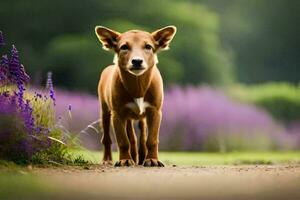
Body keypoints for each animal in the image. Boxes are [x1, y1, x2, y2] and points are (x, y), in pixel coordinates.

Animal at [95, 25, 177, 166]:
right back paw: (108, 159)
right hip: (105, 111)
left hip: (140, 117)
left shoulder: (155, 111)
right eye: (124, 47)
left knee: (141, 135)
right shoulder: (117, 113)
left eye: (148, 46)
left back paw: (142, 157)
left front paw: (152, 159)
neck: (138, 87)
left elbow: (151, 139)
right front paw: (125, 160)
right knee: (108, 138)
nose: (137, 61)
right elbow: (123, 140)